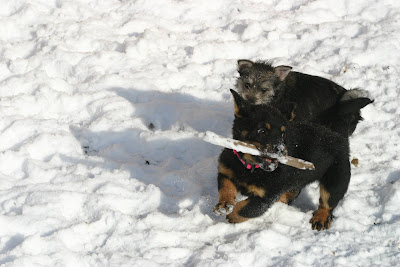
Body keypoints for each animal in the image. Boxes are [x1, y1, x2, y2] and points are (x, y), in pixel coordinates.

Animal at [212, 91, 350, 231]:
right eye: (262, 131)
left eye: (283, 134)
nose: (281, 151)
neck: (250, 167)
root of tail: (338, 136)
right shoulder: (225, 171)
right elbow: (226, 187)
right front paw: (224, 204)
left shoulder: (267, 196)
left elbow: (247, 209)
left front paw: (232, 215)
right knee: (293, 192)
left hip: (336, 178)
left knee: (327, 202)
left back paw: (320, 218)